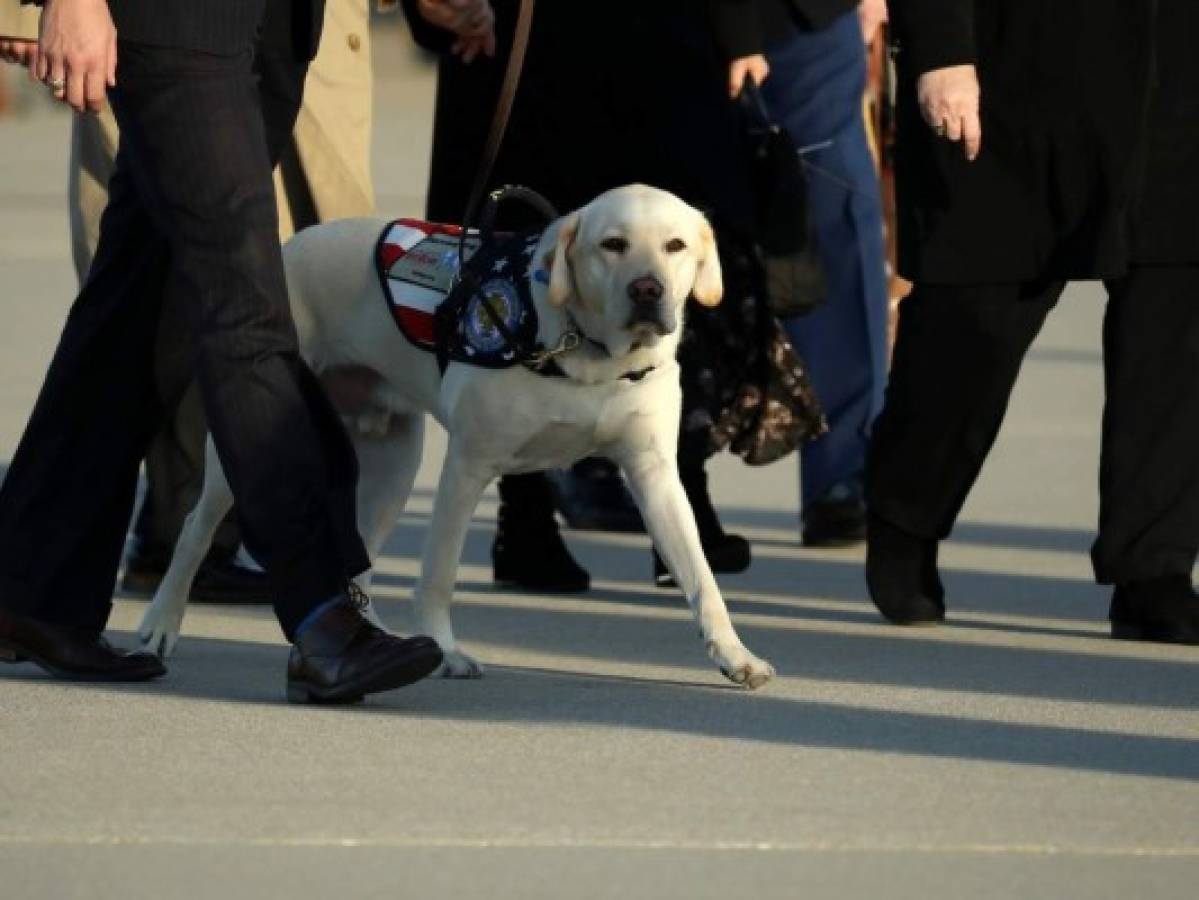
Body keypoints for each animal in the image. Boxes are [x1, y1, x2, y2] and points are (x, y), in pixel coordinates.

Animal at [137, 183, 776, 690]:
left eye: (676, 246)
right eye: (612, 244)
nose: (648, 290)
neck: (588, 353)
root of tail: (291, 245)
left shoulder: (654, 473)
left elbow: (700, 576)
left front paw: (735, 655)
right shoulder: (469, 465)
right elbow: (438, 575)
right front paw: (445, 650)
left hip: (393, 465)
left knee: (360, 563)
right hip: (247, 444)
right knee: (194, 531)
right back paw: (159, 626)